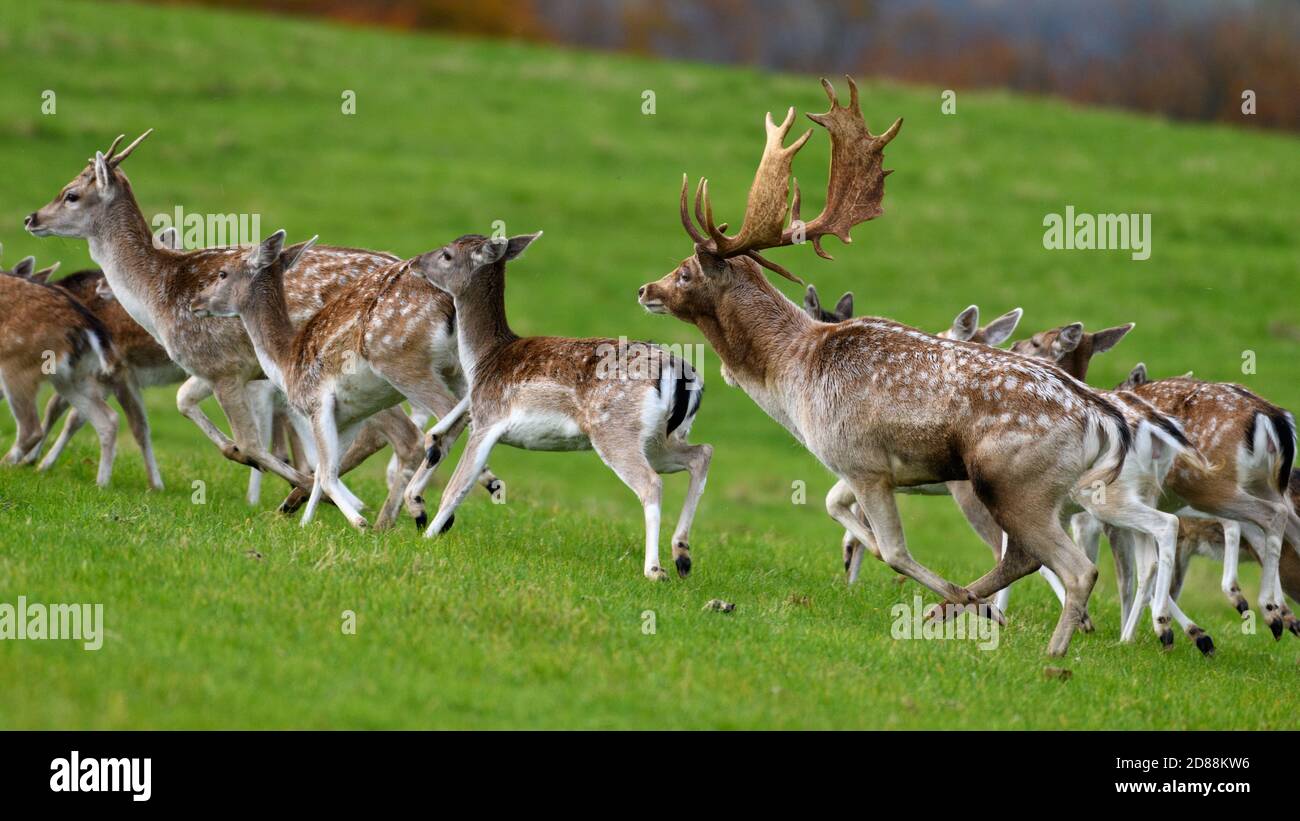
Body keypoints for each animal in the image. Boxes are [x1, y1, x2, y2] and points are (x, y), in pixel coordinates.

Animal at [405, 227, 712, 579]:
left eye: (447, 254)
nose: (415, 261)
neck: (483, 360)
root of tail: (680, 369)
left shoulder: (487, 419)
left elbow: (457, 487)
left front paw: (427, 537)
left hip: (615, 430)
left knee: (652, 483)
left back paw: (654, 569)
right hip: (659, 439)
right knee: (701, 454)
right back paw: (682, 556)